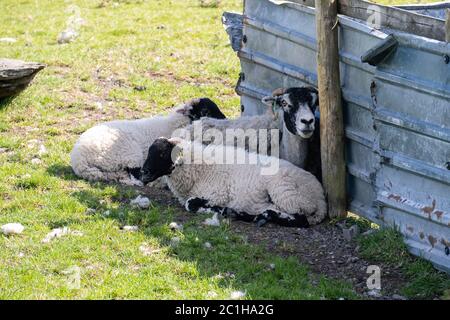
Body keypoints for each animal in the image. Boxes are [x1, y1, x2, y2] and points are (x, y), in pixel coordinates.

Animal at [70, 97, 225, 185]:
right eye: (205, 111)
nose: (225, 119)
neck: (174, 124)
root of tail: (79, 161)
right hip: (129, 153)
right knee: (137, 174)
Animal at [141, 138, 326, 228]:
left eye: (162, 154)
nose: (143, 173)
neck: (199, 168)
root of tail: (321, 200)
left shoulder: (218, 194)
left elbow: (191, 204)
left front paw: (214, 209)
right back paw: (247, 214)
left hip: (287, 193)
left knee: (300, 220)